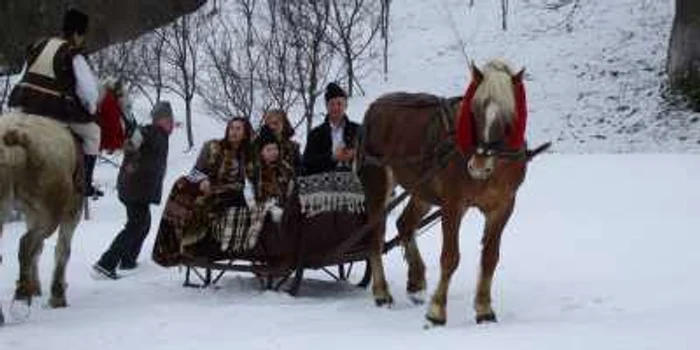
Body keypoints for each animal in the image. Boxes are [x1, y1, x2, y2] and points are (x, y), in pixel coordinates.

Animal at [360, 58, 532, 326]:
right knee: (375, 235)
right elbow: (450, 257)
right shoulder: (453, 204)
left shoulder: (503, 207)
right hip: (377, 182)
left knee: (405, 224)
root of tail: (375, 106)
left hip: (422, 189)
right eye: (474, 113)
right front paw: (437, 311)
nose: (478, 166)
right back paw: (382, 292)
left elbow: (490, 258)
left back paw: (416, 282)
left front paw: (484, 309)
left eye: (508, 121)